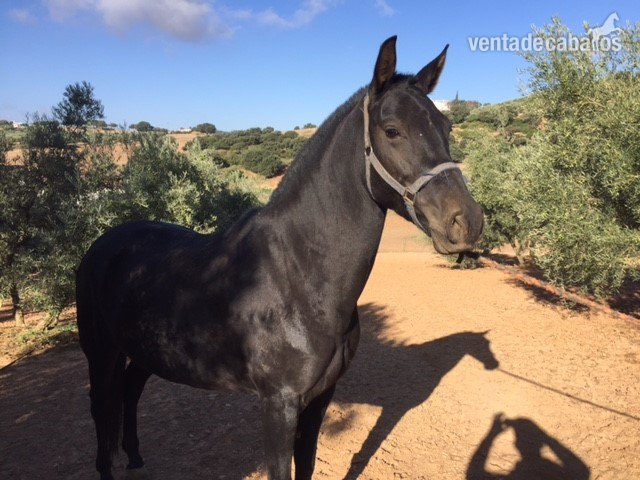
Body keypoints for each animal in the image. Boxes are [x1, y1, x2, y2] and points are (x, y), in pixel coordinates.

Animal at [76, 36, 484, 480]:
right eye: (392, 131)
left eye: (446, 128)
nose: (467, 222)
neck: (299, 277)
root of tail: (103, 245)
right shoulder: (279, 405)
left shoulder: (321, 398)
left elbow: (306, 464)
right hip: (100, 353)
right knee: (101, 412)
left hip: (145, 351)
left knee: (130, 392)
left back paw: (135, 456)